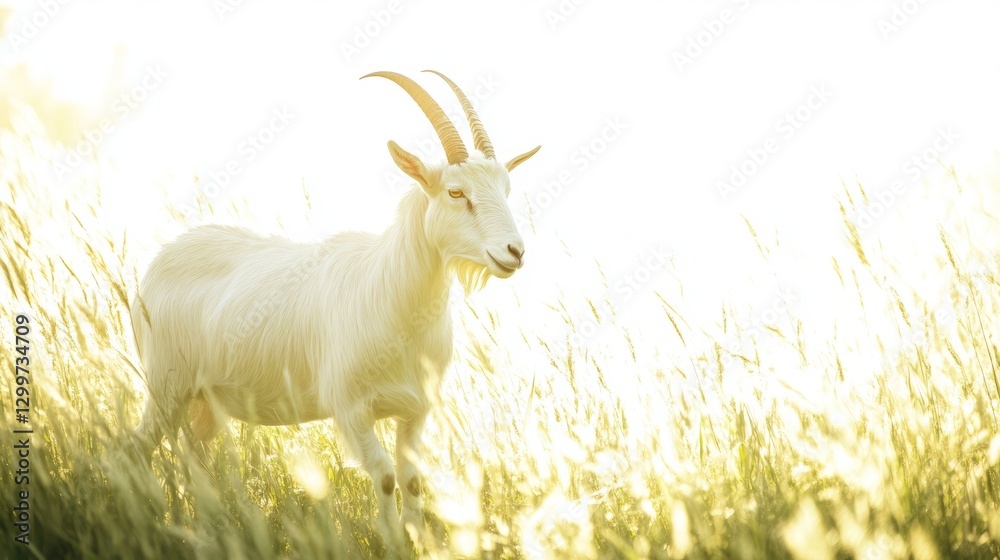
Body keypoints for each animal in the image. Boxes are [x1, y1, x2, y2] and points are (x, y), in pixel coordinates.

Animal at [129, 70, 540, 553]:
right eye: (456, 192)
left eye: (507, 189)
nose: (514, 252)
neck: (390, 293)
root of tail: (157, 263)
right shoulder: (350, 409)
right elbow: (384, 477)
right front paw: (391, 544)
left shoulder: (415, 410)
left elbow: (412, 479)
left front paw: (419, 542)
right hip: (166, 386)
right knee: (139, 447)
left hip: (206, 400)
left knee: (194, 458)